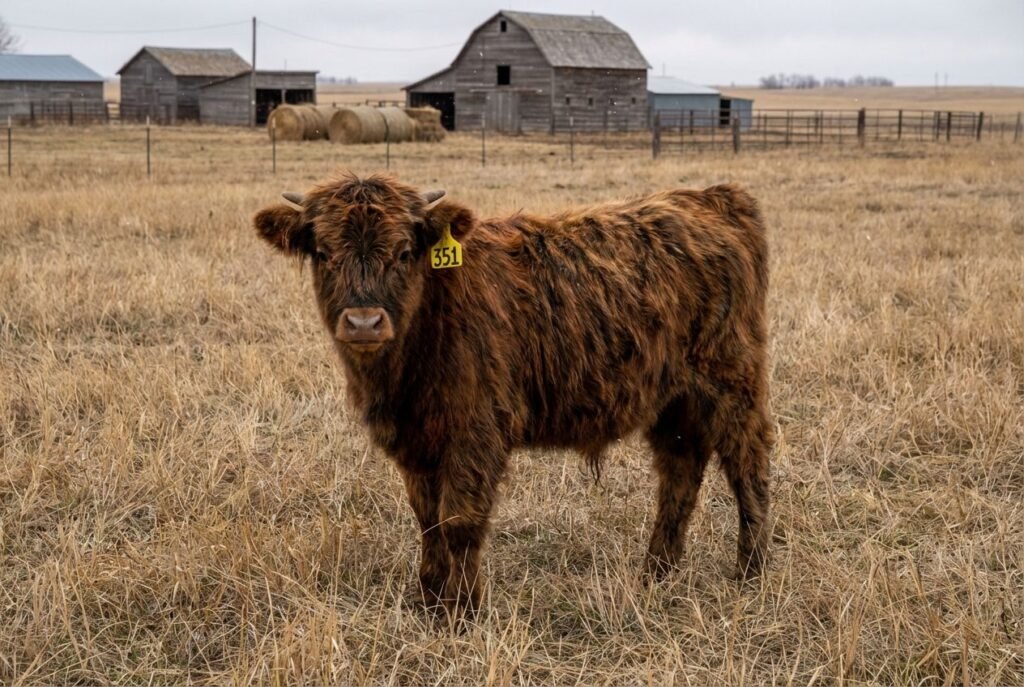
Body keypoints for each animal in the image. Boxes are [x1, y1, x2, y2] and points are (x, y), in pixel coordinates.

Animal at [253, 173, 773, 615]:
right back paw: (656, 573)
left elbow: (460, 521)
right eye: (323, 252)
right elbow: (428, 519)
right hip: (674, 401)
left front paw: (461, 611)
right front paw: (428, 599)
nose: (364, 322)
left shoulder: (477, 430)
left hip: (734, 381)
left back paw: (751, 571)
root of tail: (711, 196)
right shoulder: (416, 439)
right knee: (679, 474)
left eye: (403, 252)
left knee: (748, 465)